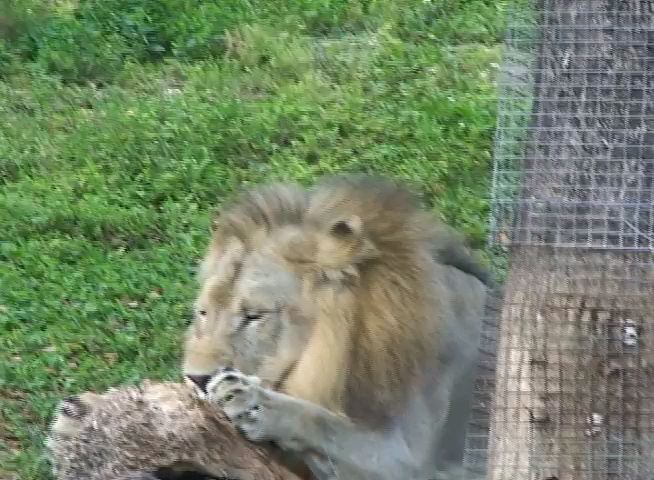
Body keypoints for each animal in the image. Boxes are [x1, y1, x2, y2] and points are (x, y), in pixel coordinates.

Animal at [181, 174, 490, 479]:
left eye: (255, 316)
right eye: (204, 312)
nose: (196, 379)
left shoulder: (416, 464)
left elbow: (323, 425)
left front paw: (247, 399)